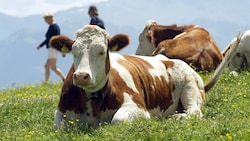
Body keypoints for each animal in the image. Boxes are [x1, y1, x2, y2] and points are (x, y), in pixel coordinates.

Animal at [49, 24, 240, 128]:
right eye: (74, 51)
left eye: (102, 51)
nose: (81, 76)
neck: (92, 104)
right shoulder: (60, 112)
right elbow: (59, 125)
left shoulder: (138, 108)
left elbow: (117, 119)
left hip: (190, 87)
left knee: (194, 111)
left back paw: (176, 116)